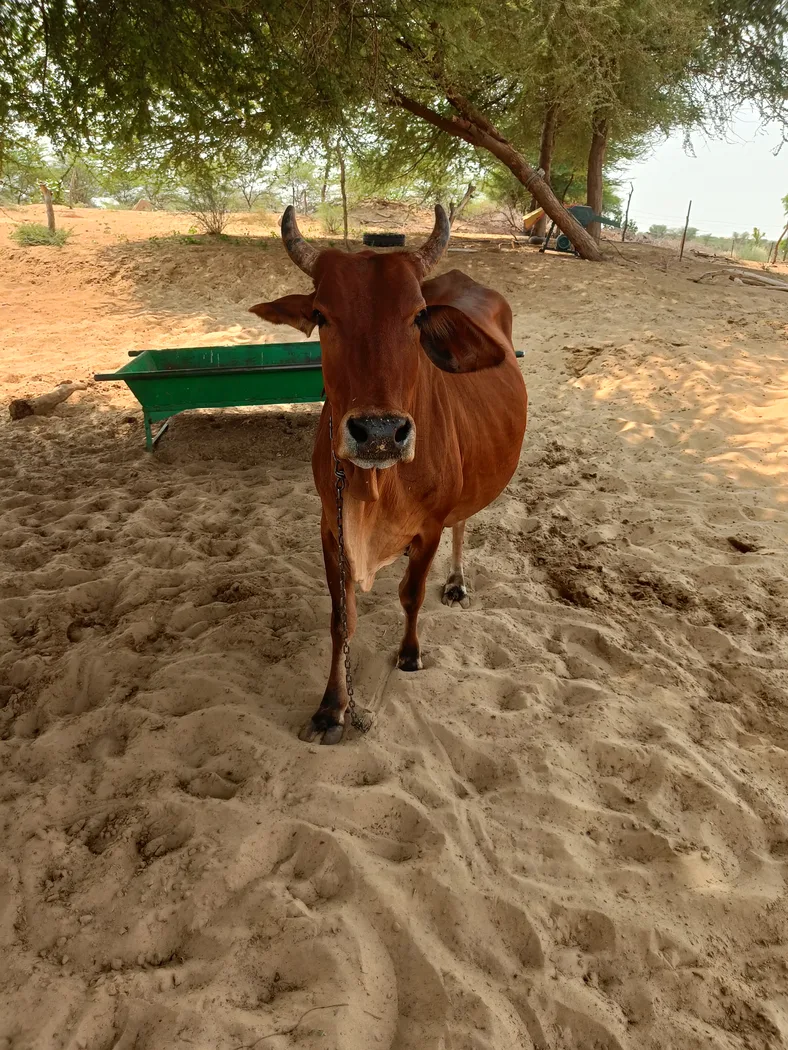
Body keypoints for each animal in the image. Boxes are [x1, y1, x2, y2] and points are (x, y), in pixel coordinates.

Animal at [250, 205, 528, 744]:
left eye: (417, 315)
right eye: (321, 315)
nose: (379, 432)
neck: (375, 487)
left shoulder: (430, 528)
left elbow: (411, 595)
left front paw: (410, 653)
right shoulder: (330, 527)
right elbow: (342, 618)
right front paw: (332, 706)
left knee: (464, 523)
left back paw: (457, 581)